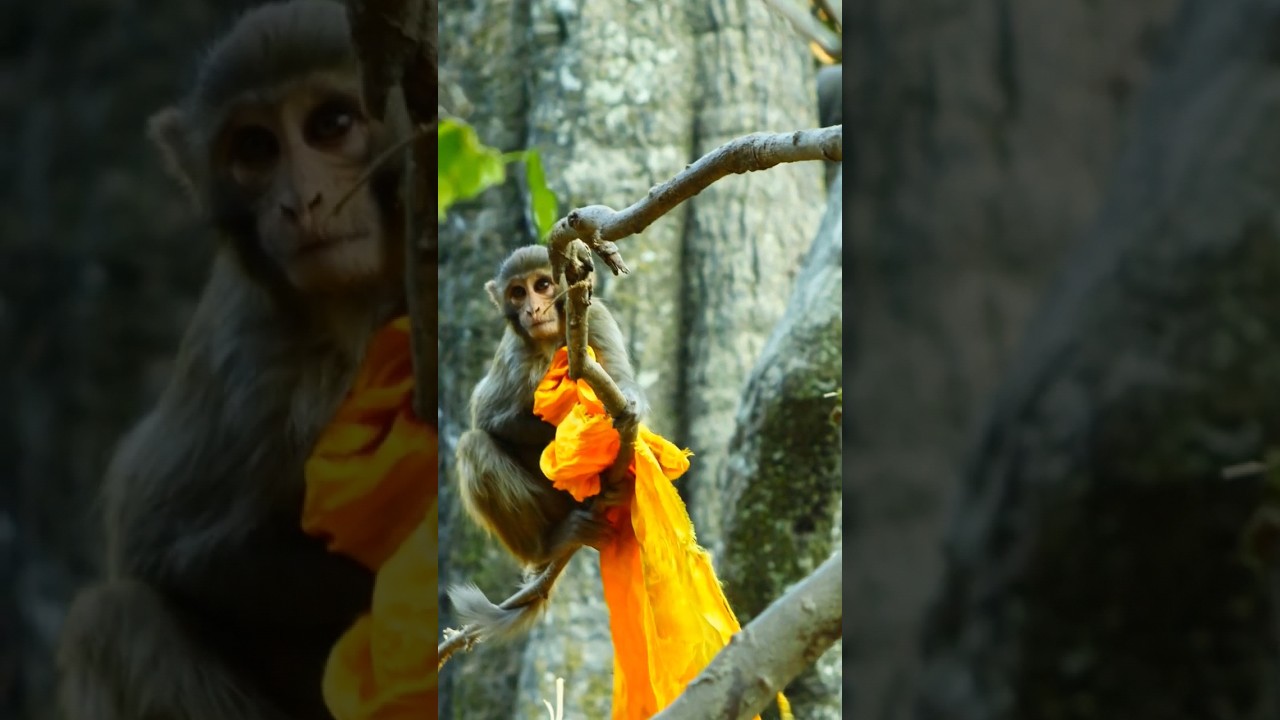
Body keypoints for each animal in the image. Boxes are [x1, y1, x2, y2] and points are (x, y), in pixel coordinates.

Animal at [55, 2, 413, 718]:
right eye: (254, 148)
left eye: (331, 125)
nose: (300, 203)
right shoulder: (247, 348)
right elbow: (153, 544)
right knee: (114, 619)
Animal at [448, 244, 648, 641]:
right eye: (517, 292)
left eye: (541, 285)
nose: (533, 310)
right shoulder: (514, 352)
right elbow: (487, 418)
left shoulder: (597, 318)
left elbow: (621, 381)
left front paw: (622, 416)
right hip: (550, 506)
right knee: (473, 445)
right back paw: (550, 544)